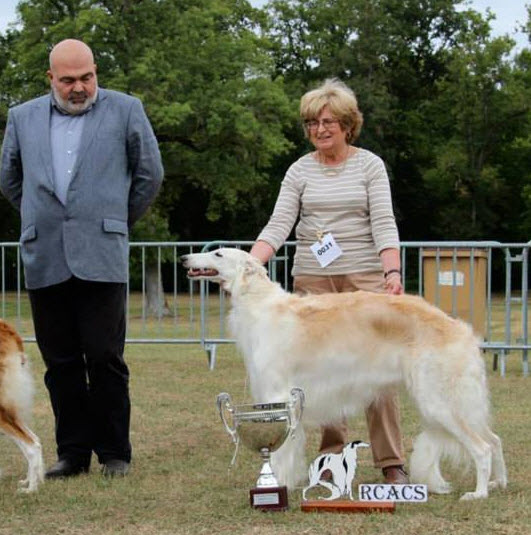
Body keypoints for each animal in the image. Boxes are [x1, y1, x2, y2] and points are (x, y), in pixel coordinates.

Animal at [182, 248, 508, 502]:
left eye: (218, 253)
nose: (184, 258)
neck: (259, 302)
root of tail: (460, 330)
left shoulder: (279, 397)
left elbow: (280, 453)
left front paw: (277, 486)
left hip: (438, 402)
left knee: (481, 448)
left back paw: (479, 493)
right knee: (494, 440)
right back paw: (498, 482)